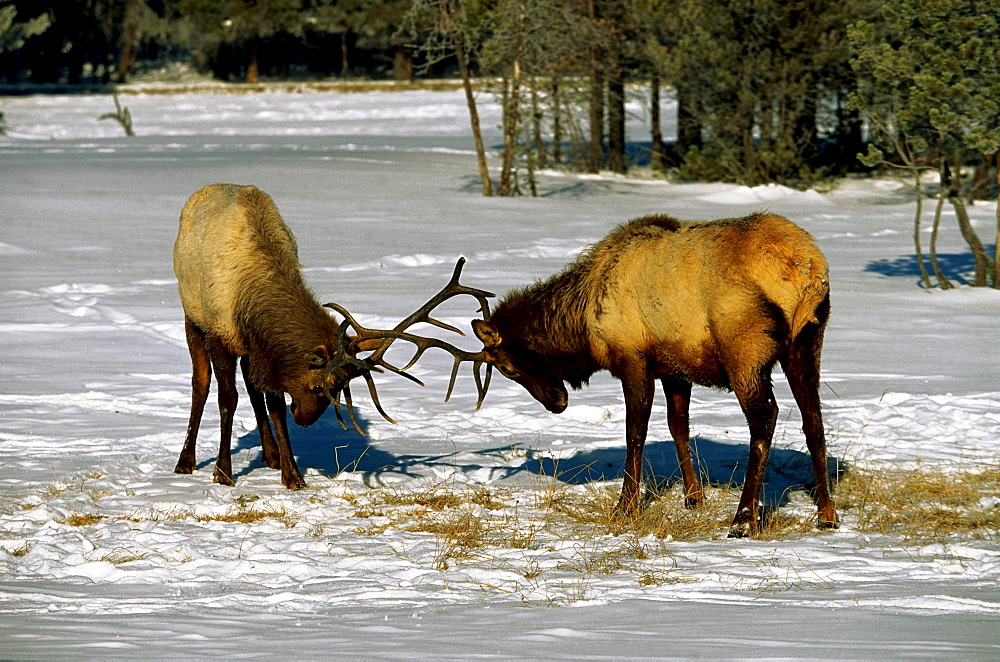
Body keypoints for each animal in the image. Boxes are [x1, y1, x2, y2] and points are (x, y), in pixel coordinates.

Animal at [178, 184, 498, 490]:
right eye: (319, 386)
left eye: (341, 388)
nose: (304, 420)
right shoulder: (220, 333)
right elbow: (227, 399)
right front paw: (222, 473)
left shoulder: (266, 350)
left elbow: (274, 405)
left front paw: (292, 475)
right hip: (191, 316)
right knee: (200, 384)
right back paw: (185, 461)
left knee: (253, 389)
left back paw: (271, 456)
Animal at [468, 213, 836, 540]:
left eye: (506, 368)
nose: (556, 403)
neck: (584, 321)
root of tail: (807, 268)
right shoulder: (675, 367)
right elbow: (678, 427)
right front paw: (693, 498)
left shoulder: (632, 355)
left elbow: (636, 431)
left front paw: (625, 507)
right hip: (807, 343)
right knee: (813, 420)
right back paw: (827, 515)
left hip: (745, 347)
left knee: (765, 417)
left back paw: (743, 520)